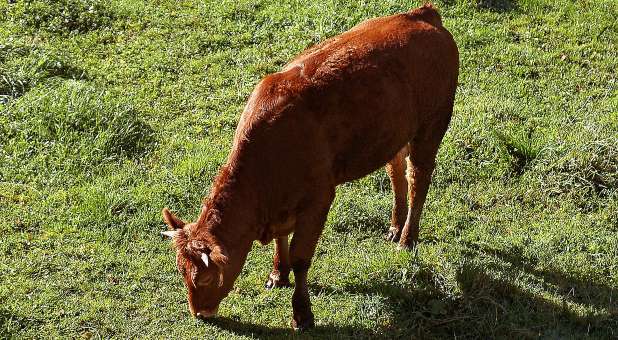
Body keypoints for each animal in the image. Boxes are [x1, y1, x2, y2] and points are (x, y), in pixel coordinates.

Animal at [159, 3, 458, 330]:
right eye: (181, 272)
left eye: (205, 277)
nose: (199, 313)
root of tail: (422, 14)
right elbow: (281, 241)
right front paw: (278, 274)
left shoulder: (319, 199)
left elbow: (301, 258)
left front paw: (302, 313)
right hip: (395, 133)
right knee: (396, 170)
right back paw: (394, 226)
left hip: (432, 124)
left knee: (418, 177)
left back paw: (407, 239)